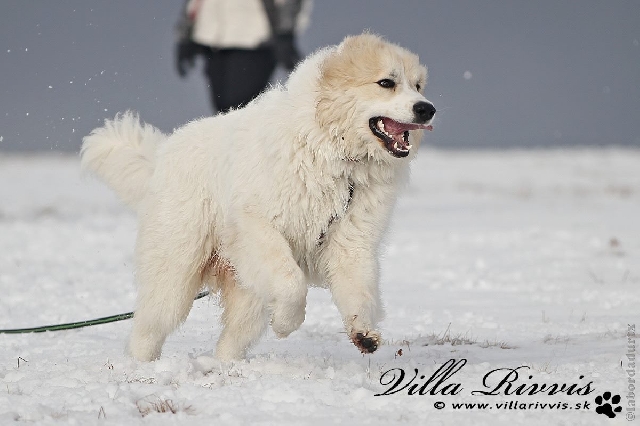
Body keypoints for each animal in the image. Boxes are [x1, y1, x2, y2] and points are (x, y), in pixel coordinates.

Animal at [81, 33, 436, 362]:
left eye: (418, 86)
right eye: (386, 82)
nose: (427, 108)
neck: (339, 157)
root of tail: (161, 157)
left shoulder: (352, 242)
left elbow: (360, 292)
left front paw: (364, 333)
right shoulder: (256, 225)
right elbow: (292, 283)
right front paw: (286, 323)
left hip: (245, 291)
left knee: (230, 341)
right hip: (176, 275)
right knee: (149, 327)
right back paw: (139, 365)